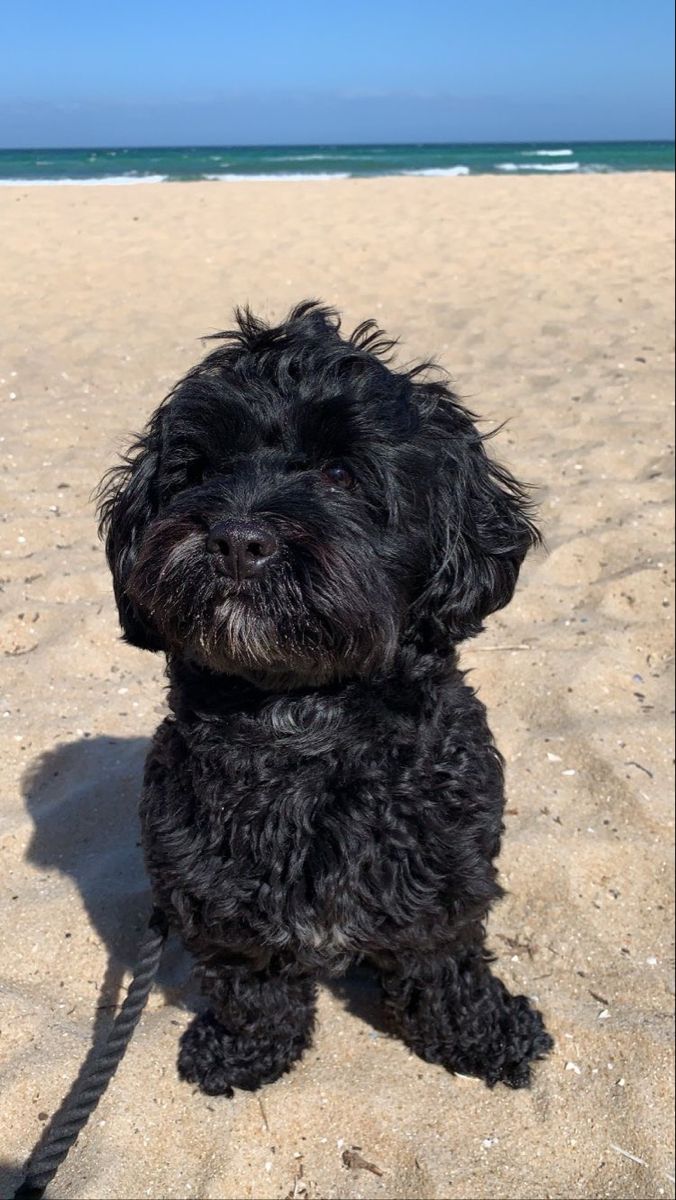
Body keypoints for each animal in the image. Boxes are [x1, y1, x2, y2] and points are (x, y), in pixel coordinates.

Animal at [97, 302, 552, 1099]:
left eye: (339, 473)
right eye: (198, 471)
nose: (238, 539)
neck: (302, 724)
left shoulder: (441, 866)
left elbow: (446, 962)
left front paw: (483, 1034)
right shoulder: (216, 886)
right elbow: (253, 986)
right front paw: (244, 1051)